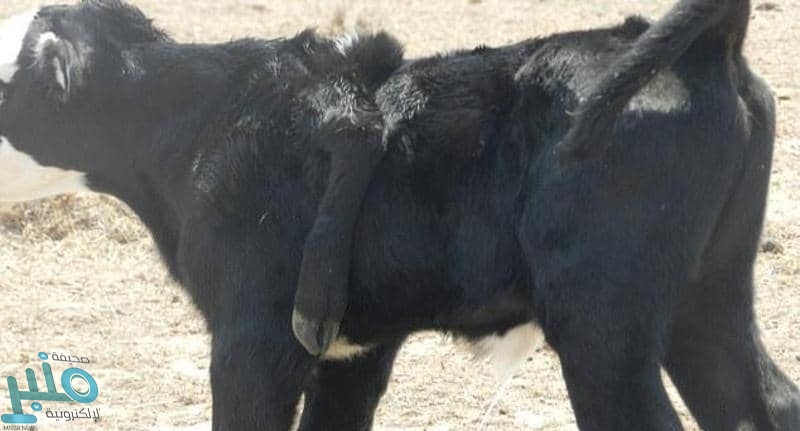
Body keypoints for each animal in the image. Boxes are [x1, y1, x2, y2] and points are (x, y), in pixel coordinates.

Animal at [0, 1, 798, 431]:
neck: (206, 121)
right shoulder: (355, 351)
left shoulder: (253, 341)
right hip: (709, 297)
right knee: (765, 400)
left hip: (604, 324)